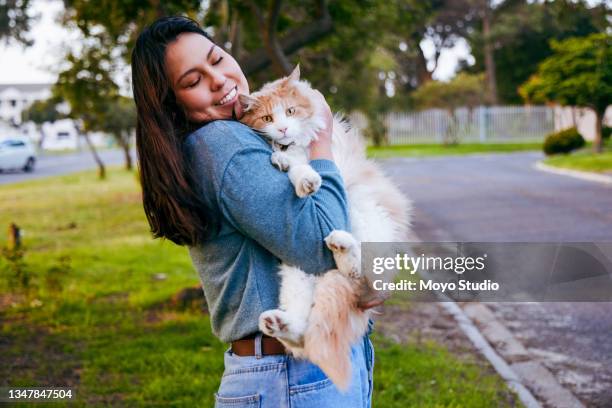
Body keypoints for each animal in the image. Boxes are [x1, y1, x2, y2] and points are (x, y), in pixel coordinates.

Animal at [239, 65, 412, 390]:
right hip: (297, 271)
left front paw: (301, 170)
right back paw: (278, 323)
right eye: (267, 119)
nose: (283, 130)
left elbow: (306, 163)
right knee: (302, 334)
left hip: (361, 210)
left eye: (290, 111)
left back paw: (343, 249)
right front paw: (297, 172)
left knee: (363, 271)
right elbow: (294, 166)